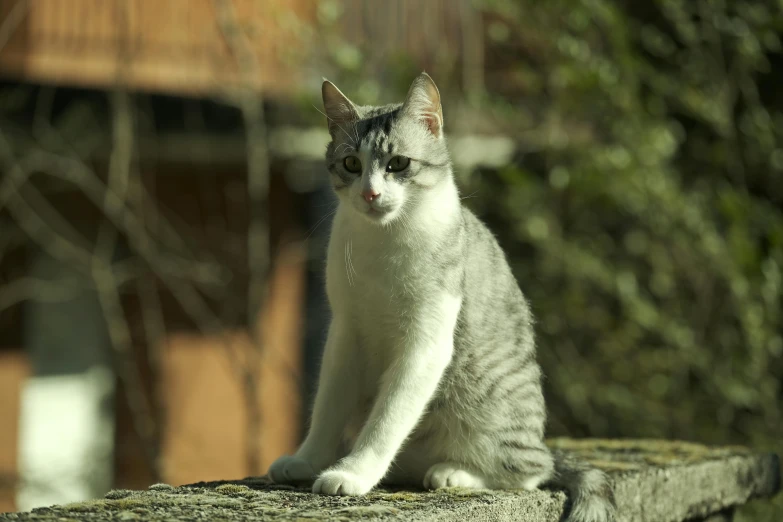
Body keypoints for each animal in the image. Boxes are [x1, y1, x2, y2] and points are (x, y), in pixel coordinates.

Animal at [270, 70, 620, 520]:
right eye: (351, 164)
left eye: (398, 163)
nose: (370, 194)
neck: (383, 243)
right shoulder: (345, 333)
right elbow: (327, 409)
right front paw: (309, 461)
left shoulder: (427, 340)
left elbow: (387, 418)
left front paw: (354, 473)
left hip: (489, 410)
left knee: (530, 471)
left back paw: (454, 473)